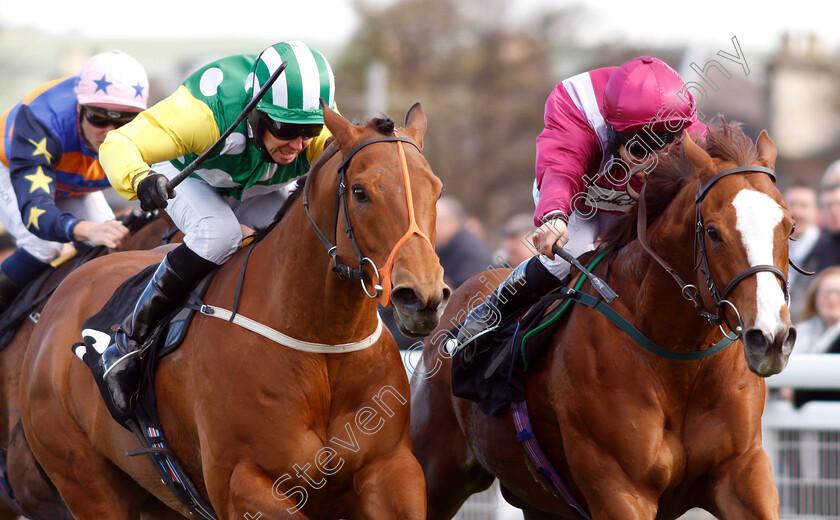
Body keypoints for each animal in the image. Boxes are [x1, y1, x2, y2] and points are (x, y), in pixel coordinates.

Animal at [18, 103, 446, 516]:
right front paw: (149, 188)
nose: (420, 296)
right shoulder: (241, 484)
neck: (323, 345)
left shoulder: (393, 469)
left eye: (437, 191)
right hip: (85, 480)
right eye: (360, 192)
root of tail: (60, 299)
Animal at [412, 120, 796, 520]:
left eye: (790, 227)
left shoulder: (742, 472)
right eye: (714, 232)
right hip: (435, 472)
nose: (770, 337)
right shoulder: (619, 489)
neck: (681, 362)